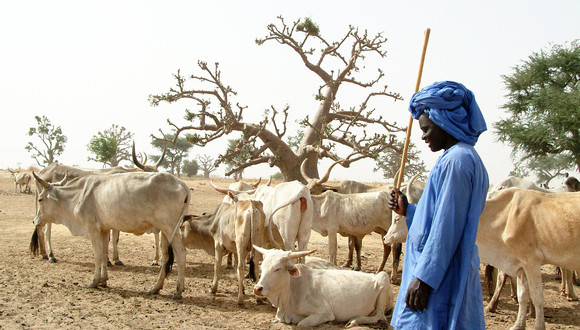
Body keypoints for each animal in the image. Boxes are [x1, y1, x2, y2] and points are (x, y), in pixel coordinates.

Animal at [31, 170, 189, 300]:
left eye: (40, 199)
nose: (34, 220)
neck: (78, 195)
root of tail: (180, 183)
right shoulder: (104, 229)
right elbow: (104, 253)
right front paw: (104, 280)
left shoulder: (92, 228)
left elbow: (97, 255)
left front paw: (94, 281)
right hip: (165, 231)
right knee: (165, 257)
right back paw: (155, 288)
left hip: (170, 228)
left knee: (181, 253)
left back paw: (178, 291)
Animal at [251, 245, 392, 328]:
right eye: (262, 267)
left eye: (277, 269)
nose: (257, 288)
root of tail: (373, 276)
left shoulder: (325, 312)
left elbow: (301, 324)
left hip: (384, 279)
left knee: (379, 316)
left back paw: (355, 320)